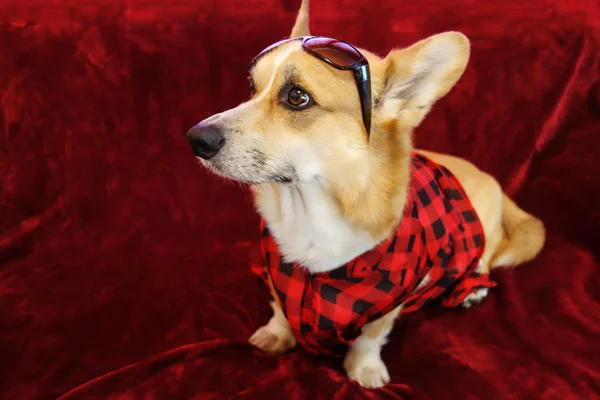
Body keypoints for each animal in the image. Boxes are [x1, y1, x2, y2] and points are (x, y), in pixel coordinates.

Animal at [185, 0, 548, 388]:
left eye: (297, 97)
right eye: (251, 87)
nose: (195, 139)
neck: (312, 209)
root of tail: (491, 182)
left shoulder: (392, 296)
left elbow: (371, 336)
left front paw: (364, 371)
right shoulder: (278, 271)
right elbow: (281, 308)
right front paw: (276, 334)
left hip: (482, 233)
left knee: (482, 261)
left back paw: (473, 289)